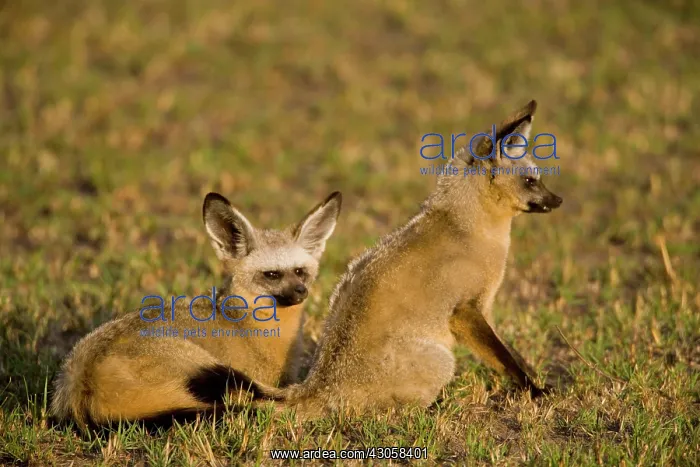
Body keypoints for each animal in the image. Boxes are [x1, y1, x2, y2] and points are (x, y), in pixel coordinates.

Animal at [190, 100, 563, 419]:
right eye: (531, 181)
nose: (559, 200)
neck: (464, 226)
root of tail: (317, 386)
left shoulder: (480, 309)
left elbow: (513, 354)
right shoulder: (468, 311)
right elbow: (506, 358)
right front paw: (534, 390)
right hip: (443, 360)